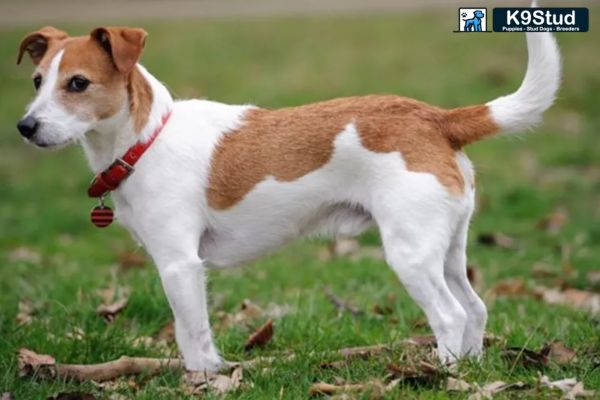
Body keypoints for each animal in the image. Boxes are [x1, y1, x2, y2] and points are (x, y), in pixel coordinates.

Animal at [17, 16, 564, 372]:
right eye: (38, 81)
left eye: (78, 83)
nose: (25, 127)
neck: (147, 136)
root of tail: (435, 117)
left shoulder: (179, 265)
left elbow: (192, 337)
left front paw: (203, 379)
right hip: (446, 248)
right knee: (475, 309)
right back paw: (470, 370)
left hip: (410, 254)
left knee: (450, 315)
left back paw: (444, 375)